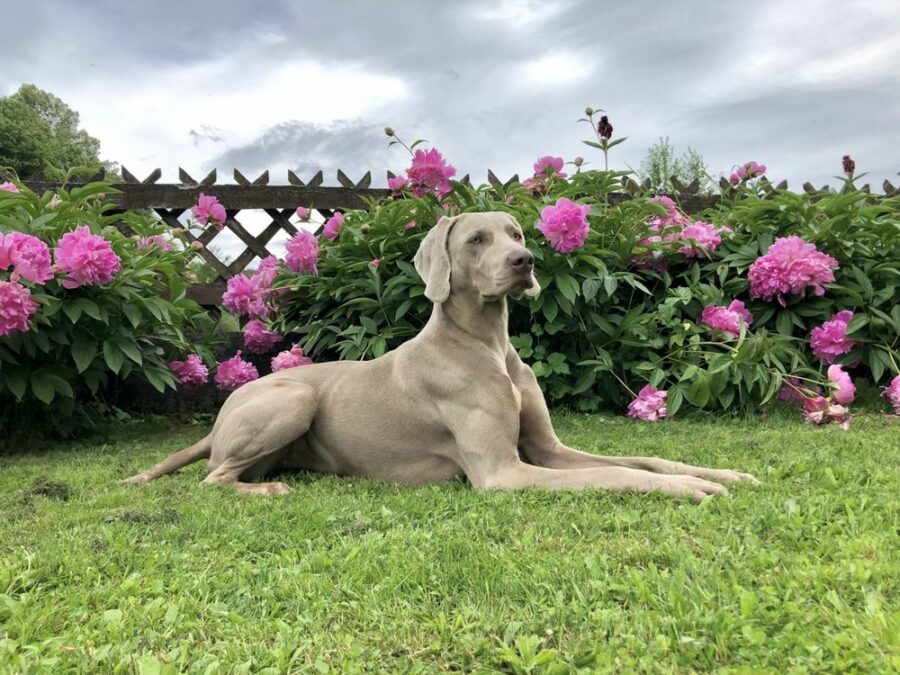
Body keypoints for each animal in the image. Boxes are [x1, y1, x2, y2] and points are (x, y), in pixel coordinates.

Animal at [126, 214, 756, 500]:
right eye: (477, 240)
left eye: (515, 232)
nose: (525, 261)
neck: (487, 345)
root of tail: (220, 417)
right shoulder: (504, 473)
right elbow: (615, 474)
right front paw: (691, 491)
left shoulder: (546, 451)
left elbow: (645, 459)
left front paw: (722, 473)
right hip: (294, 396)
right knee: (213, 477)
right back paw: (265, 491)